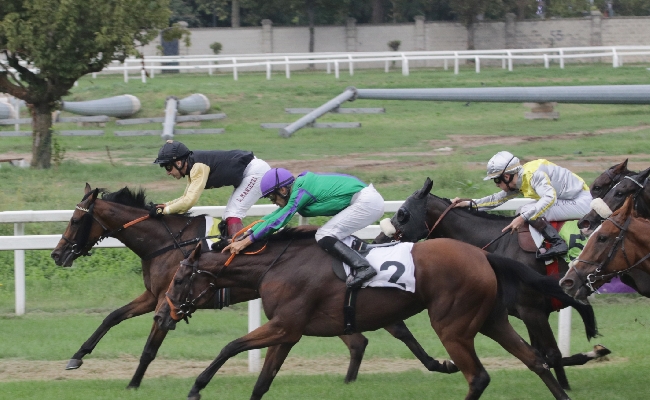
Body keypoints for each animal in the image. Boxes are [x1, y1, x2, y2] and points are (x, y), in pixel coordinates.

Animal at [50, 184, 454, 388]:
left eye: (75, 220)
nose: (57, 254)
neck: (165, 243)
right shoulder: (155, 297)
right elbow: (112, 317)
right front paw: (77, 357)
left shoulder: (166, 299)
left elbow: (149, 348)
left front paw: (133, 384)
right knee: (361, 339)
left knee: (390, 330)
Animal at [158, 231, 572, 400]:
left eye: (178, 278)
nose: (164, 312)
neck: (277, 266)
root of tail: (484, 255)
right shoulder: (288, 332)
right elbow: (262, 382)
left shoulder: (283, 325)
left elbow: (230, 346)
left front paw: (196, 387)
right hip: (491, 319)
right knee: (535, 360)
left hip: (452, 326)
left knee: (479, 377)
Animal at [372, 179, 600, 390]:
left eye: (402, 213)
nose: (378, 240)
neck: (501, 242)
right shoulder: (528, 312)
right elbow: (542, 354)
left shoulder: (532, 309)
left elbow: (552, 354)